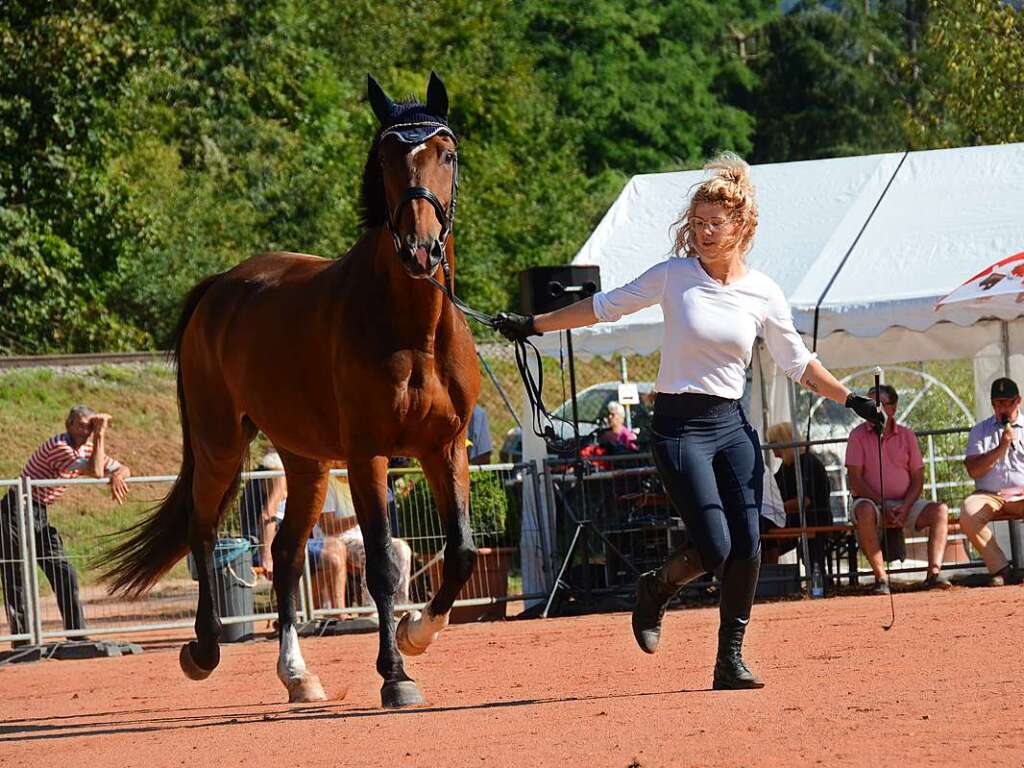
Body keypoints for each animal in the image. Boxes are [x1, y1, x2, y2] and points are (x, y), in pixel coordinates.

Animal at [105, 73, 481, 708]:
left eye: (446, 154)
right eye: (387, 157)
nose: (419, 248)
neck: (415, 328)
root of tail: (220, 288)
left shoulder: (445, 448)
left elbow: (460, 553)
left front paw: (417, 631)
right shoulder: (368, 455)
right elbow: (381, 564)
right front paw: (395, 674)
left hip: (305, 462)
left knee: (282, 556)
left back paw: (297, 674)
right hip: (220, 446)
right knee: (203, 532)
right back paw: (204, 649)